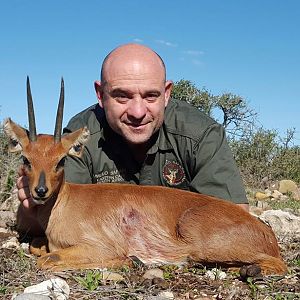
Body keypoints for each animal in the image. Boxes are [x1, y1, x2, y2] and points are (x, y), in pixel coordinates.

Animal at [3, 78, 288, 274]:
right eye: (26, 159)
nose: (40, 191)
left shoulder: (98, 245)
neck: (64, 204)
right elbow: (37, 246)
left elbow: (46, 258)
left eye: (61, 160)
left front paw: (129, 260)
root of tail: (267, 233)